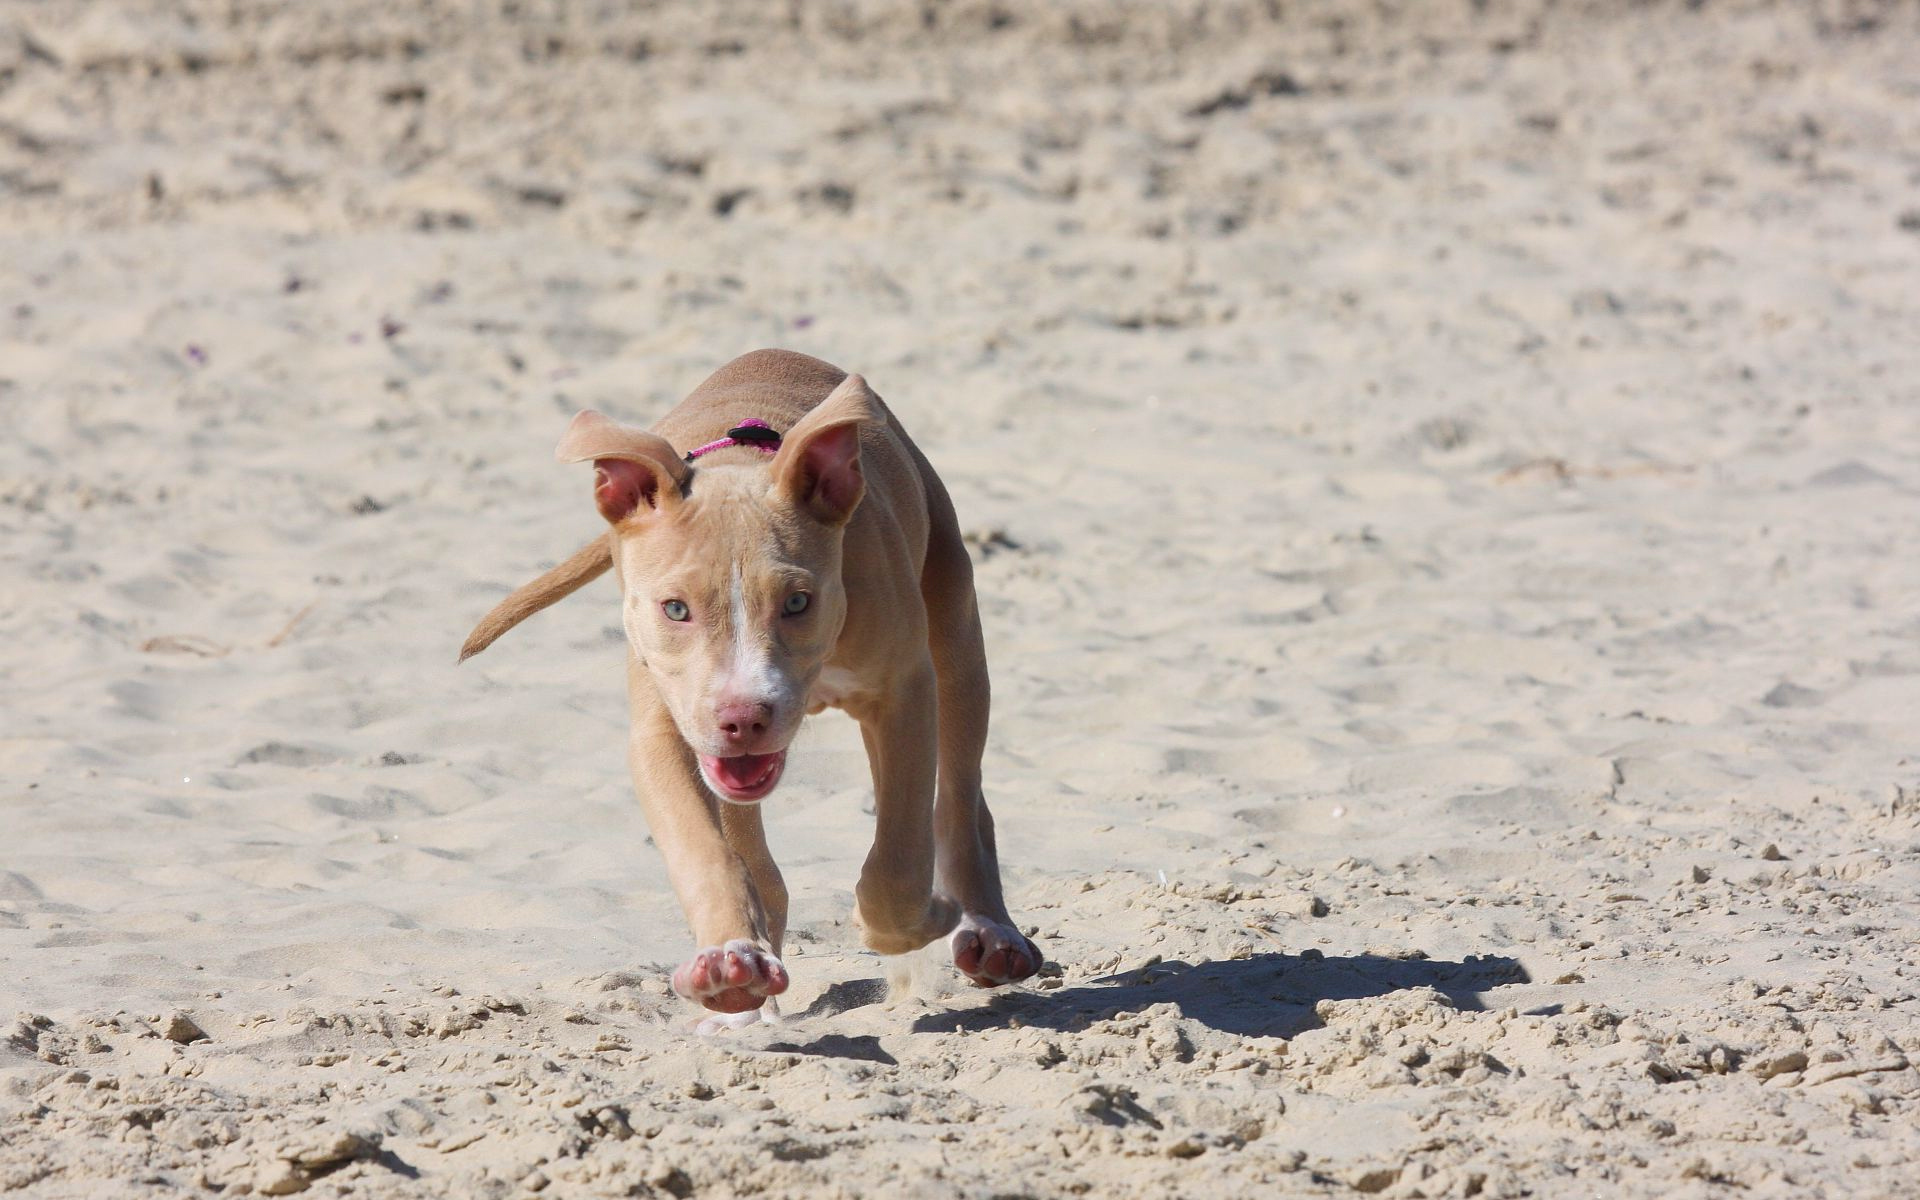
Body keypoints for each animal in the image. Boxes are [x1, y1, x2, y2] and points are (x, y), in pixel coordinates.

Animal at [458, 351, 1044, 1021]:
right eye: (675, 609)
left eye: (797, 601)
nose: (743, 716)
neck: (734, 467)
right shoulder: (663, 730)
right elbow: (701, 850)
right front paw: (726, 962)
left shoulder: (902, 693)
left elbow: (899, 854)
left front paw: (917, 920)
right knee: (758, 861)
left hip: (956, 636)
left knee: (961, 795)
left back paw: (988, 931)